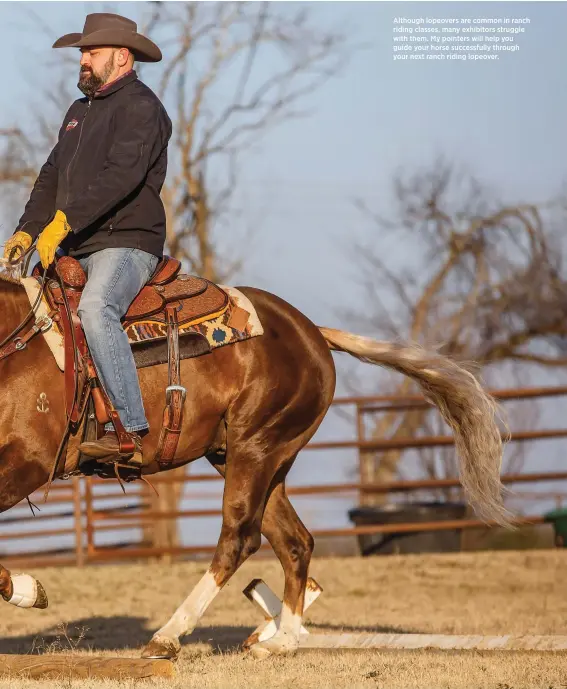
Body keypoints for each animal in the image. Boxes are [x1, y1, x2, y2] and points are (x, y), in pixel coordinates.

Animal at [0, 272, 516, 660]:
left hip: (256, 448)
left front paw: (26, 589)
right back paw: (281, 640)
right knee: (295, 542)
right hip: (254, 458)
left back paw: (169, 635)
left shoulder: (30, 463)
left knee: (239, 537)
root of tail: (312, 332)